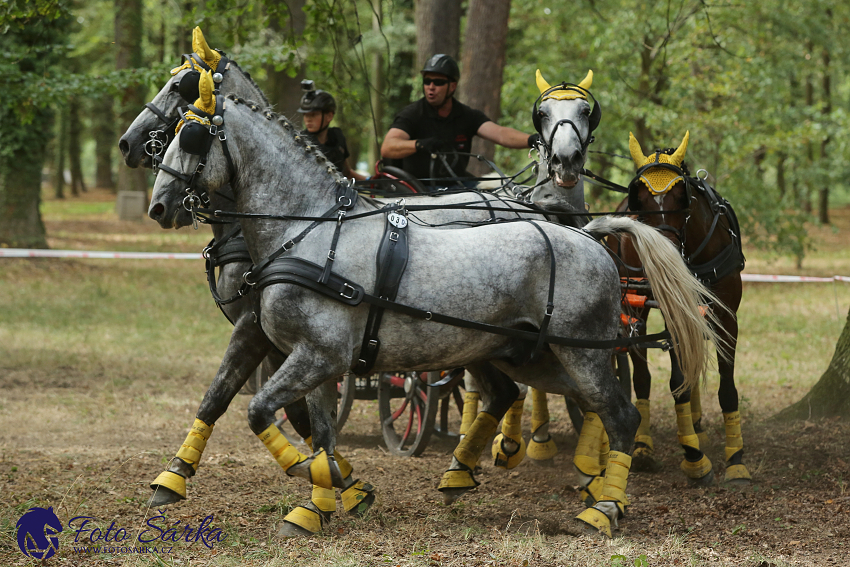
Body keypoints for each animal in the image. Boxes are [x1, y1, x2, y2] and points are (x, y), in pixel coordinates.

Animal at [147, 71, 724, 536]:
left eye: (191, 135)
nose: (158, 206)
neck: (312, 232)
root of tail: (588, 235)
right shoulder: (316, 360)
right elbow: (318, 428)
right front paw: (319, 502)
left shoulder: (318, 357)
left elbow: (261, 411)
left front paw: (316, 477)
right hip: (532, 357)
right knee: (562, 402)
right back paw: (567, 482)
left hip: (579, 352)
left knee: (620, 415)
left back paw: (602, 508)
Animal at [608, 132, 744, 484]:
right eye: (638, 200)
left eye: (681, 197)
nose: (661, 254)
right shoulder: (670, 310)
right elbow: (676, 382)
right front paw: (694, 457)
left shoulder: (727, 315)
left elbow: (726, 387)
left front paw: (736, 460)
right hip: (635, 304)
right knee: (641, 375)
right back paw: (643, 445)